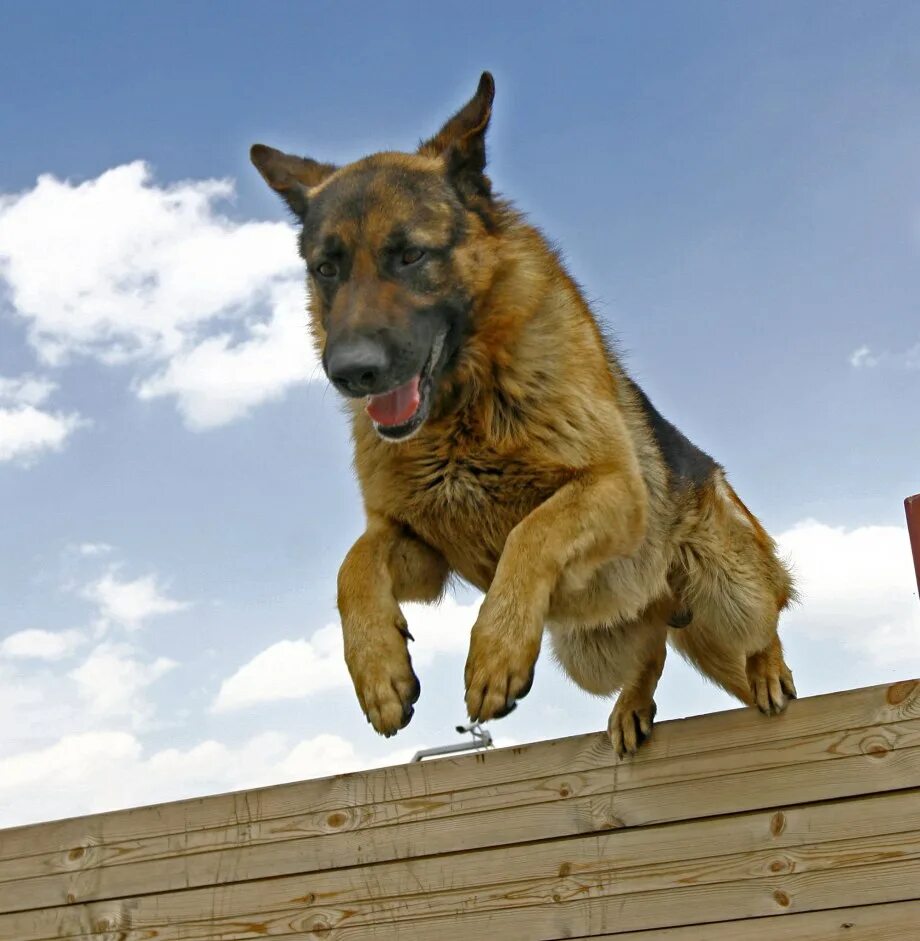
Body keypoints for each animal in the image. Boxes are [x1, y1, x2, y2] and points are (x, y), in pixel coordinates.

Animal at [253, 71, 796, 756]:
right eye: (327, 268)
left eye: (410, 256)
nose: (350, 371)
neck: (462, 409)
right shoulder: (419, 546)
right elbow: (352, 564)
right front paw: (378, 671)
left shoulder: (613, 489)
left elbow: (532, 530)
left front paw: (494, 653)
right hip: (593, 646)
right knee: (650, 651)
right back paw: (632, 705)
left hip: (729, 588)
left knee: (763, 624)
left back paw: (771, 673)